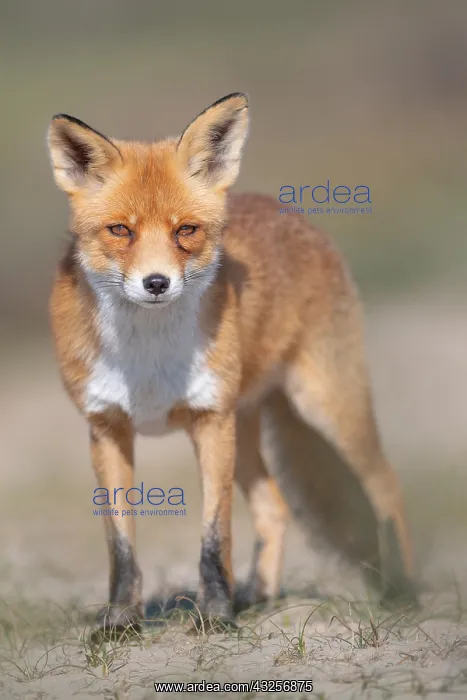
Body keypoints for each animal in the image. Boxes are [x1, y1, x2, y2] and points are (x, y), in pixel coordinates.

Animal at [47, 93, 416, 635]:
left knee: (386, 485)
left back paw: (404, 591)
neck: (148, 356)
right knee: (275, 506)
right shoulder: (106, 426)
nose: (156, 283)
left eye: (186, 231)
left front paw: (217, 616)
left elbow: (214, 535)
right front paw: (121, 622)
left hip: (324, 406)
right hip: (247, 431)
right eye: (120, 231)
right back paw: (259, 595)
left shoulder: (209, 421)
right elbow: (121, 545)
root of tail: (288, 210)